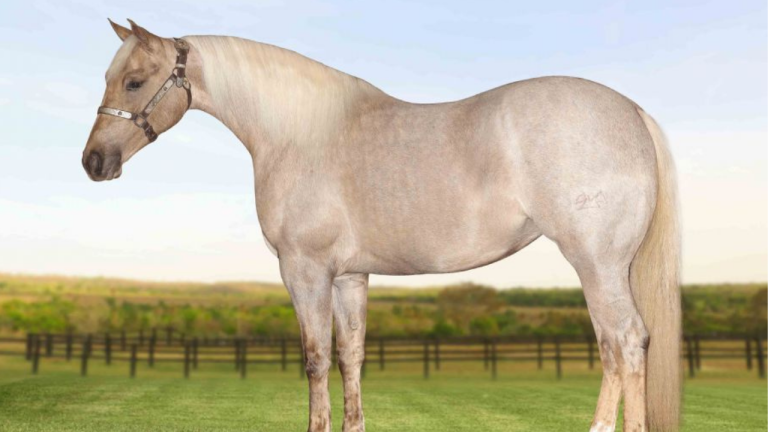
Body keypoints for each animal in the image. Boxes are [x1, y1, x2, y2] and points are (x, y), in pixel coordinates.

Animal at [83, 19, 681, 432]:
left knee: (625, 342)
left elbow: (316, 358)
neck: (303, 134)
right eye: (110, 78)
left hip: (597, 263)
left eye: (134, 82)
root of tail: (631, 111)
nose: (94, 162)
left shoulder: (305, 271)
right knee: (613, 345)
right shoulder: (351, 277)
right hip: (605, 269)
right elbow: (351, 356)